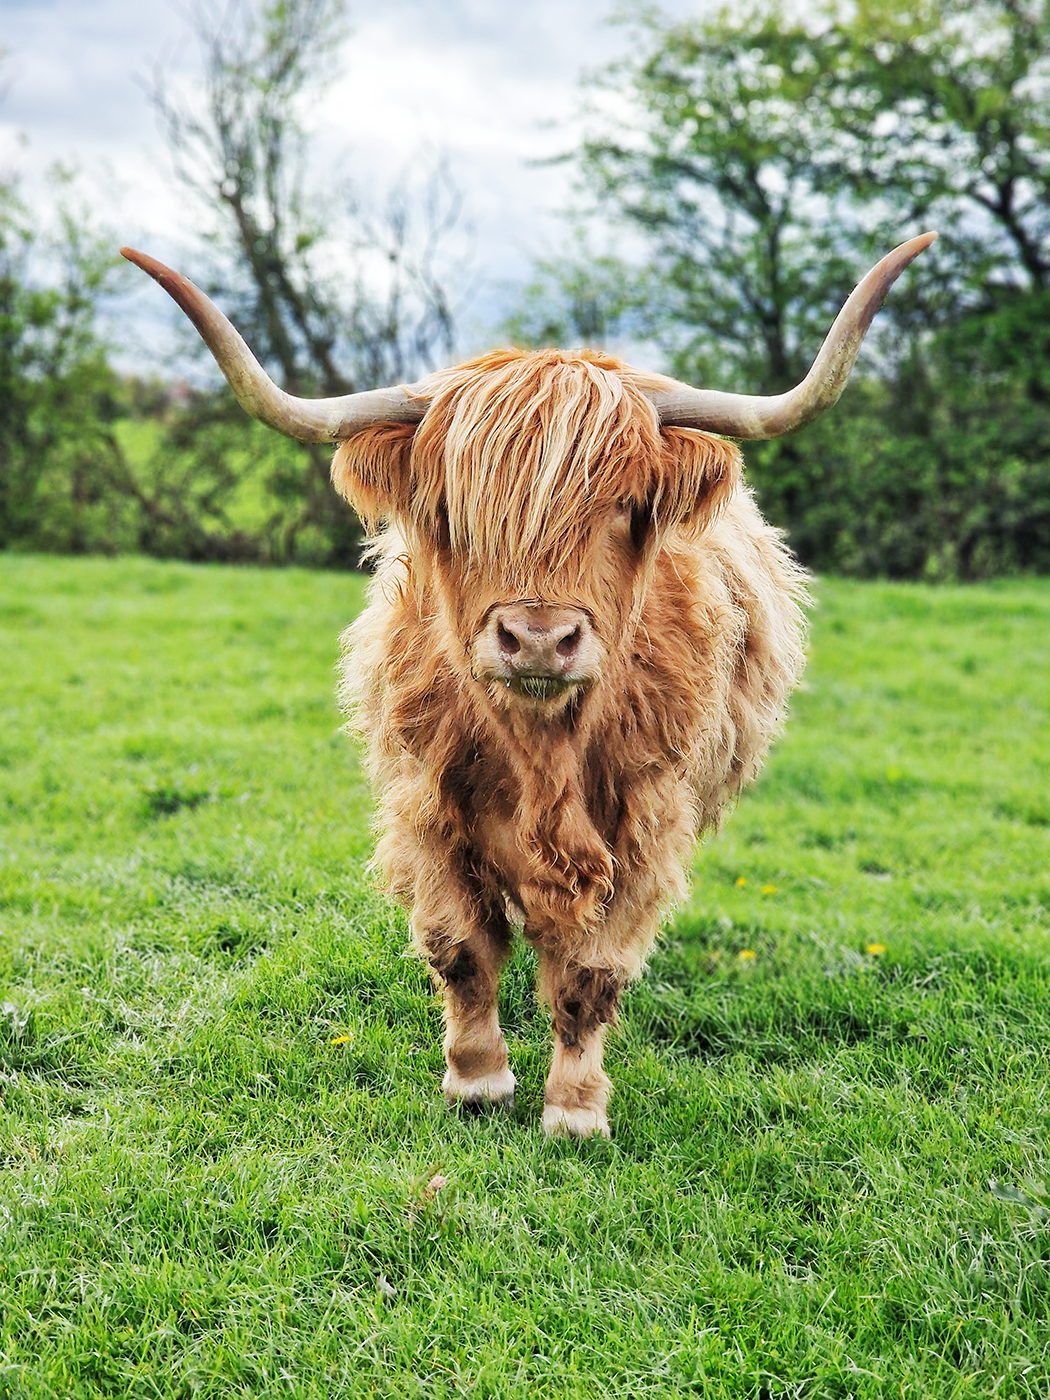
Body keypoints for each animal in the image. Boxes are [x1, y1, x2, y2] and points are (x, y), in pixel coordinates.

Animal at [123, 233, 935, 1137]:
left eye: (624, 506)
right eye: (455, 513)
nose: (539, 639)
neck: (540, 751)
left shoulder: (647, 828)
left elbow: (591, 973)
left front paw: (574, 1109)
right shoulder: (426, 808)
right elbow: (460, 948)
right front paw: (478, 1079)